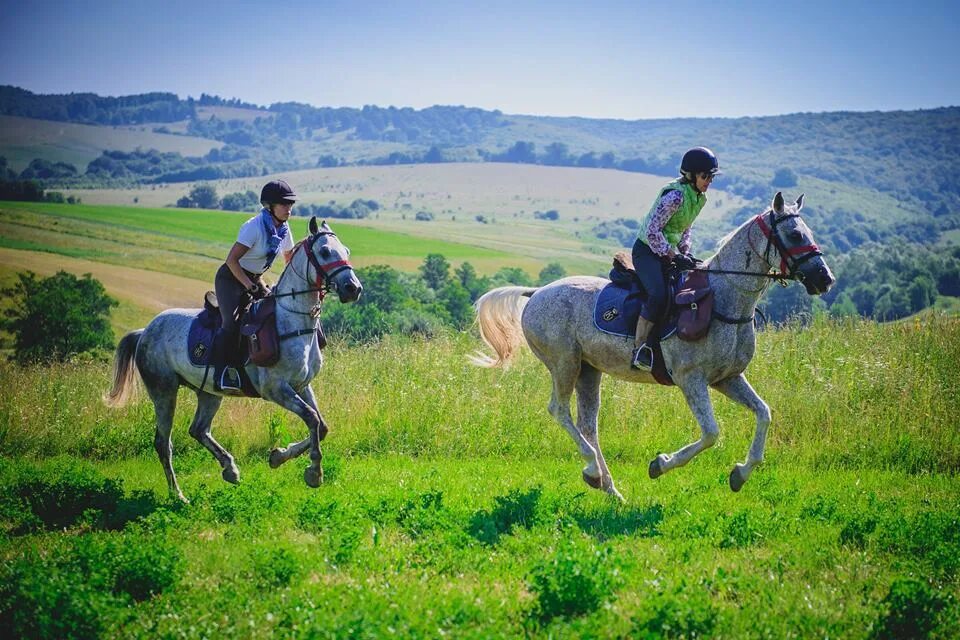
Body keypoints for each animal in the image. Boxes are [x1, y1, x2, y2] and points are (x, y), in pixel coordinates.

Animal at [104, 218, 360, 502]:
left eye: (346, 251)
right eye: (325, 251)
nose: (353, 289)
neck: (292, 321)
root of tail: (145, 331)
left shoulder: (302, 385)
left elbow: (321, 426)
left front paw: (278, 456)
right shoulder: (276, 389)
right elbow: (312, 419)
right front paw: (314, 472)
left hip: (208, 392)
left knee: (198, 429)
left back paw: (230, 469)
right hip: (163, 390)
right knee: (163, 442)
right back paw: (178, 495)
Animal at [472, 192, 832, 498]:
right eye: (795, 235)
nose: (824, 279)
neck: (724, 300)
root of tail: (536, 292)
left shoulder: (727, 378)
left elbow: (764, 413)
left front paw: (741, 474)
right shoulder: (691, 378)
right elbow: (712, 432)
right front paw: (660, 464)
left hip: (589, 370)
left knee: (588, 424)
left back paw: (606, 486)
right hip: (565, 363)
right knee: (559, 411)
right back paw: (593, 470)